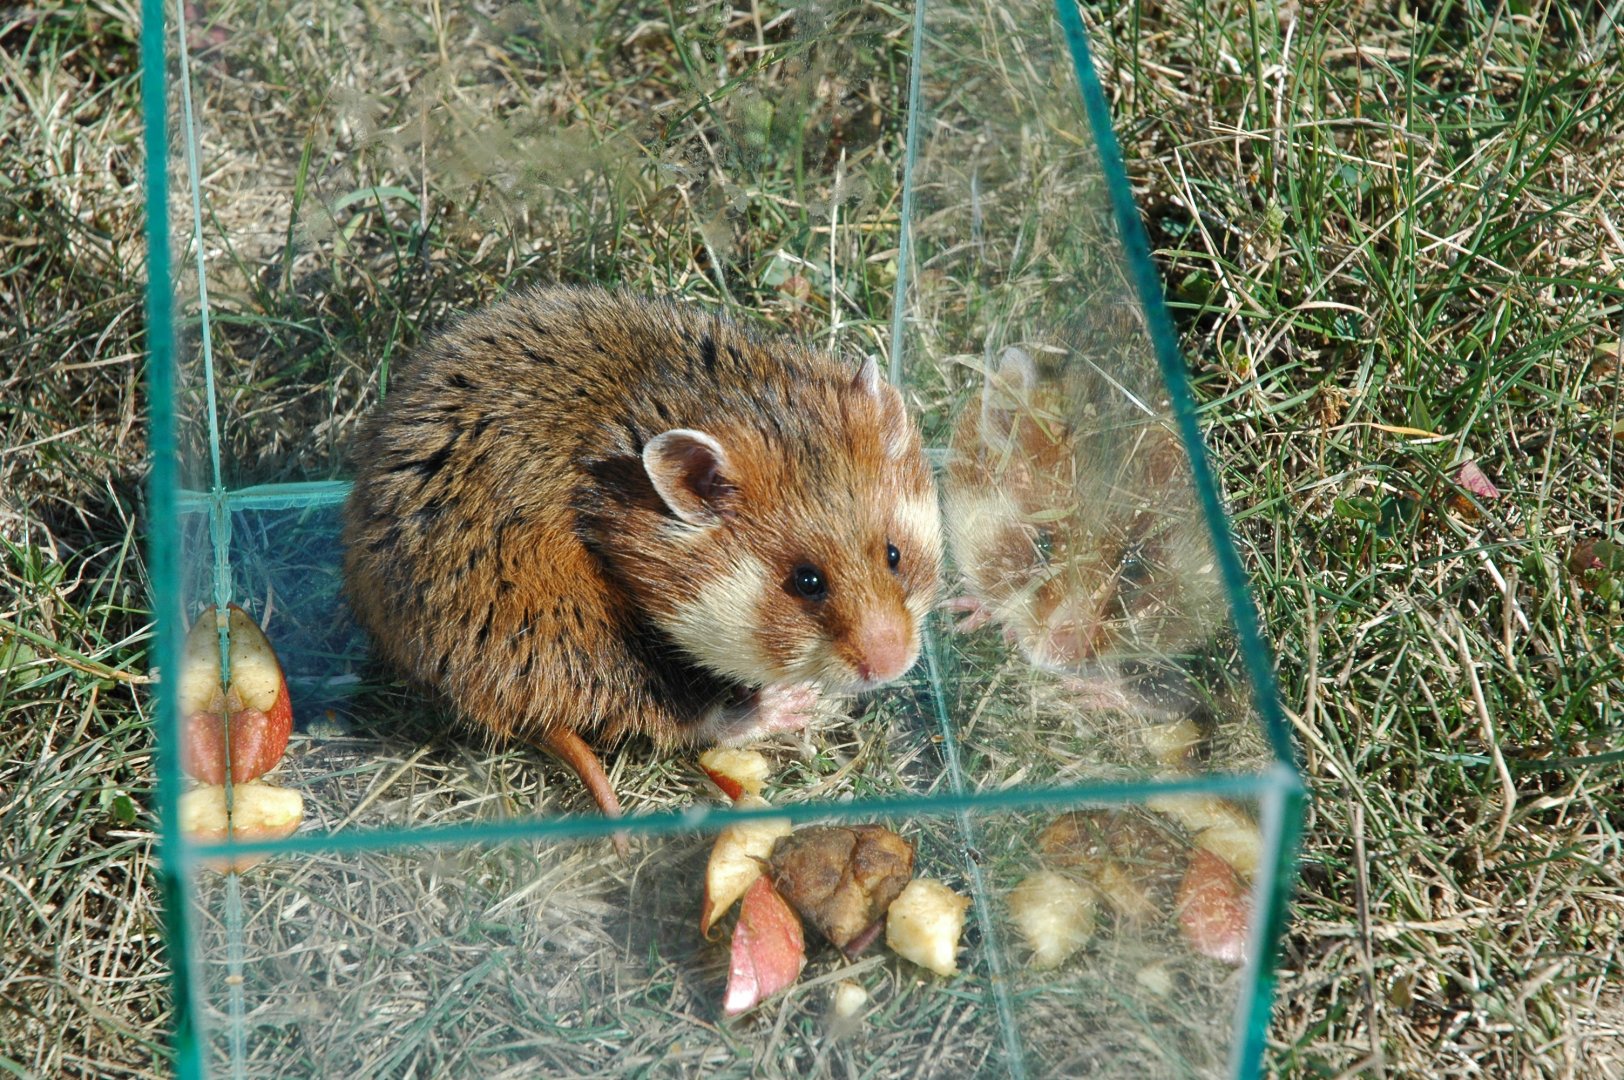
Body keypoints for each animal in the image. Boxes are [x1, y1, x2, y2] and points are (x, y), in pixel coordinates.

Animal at [342, 286, 943, 825]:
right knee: (680, 720)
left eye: (894, 554)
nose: (893, 667)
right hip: (575, 633)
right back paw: (793, 705)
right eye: (805, 582)